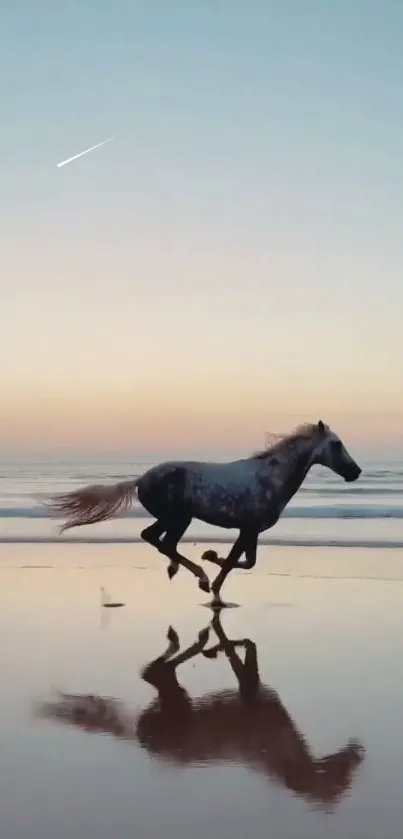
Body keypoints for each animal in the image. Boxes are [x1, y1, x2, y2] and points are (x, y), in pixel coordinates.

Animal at [37, 612, 366, 812]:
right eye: (340, 785)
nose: (357, 752)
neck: (279, 751)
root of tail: (139, 736)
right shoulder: (251, 693)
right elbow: (241, 652)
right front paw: (219, 643)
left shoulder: (252, 687)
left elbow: (246, 648)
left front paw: (222, 644)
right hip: (177, 703)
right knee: (154, 670)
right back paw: (196, 638)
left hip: (176, 697)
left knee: (155, 671)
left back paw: (191, 638)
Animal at [45, 420, 362, 604]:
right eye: (336, 444)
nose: (356, 472)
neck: (270, 478)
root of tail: (140, 480)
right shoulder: (248, 529)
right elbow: (235, 562)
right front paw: (214, 584)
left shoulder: (252, 531)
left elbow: (247, 562)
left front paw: (211, 560)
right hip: (179, 518)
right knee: (164, 542)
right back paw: (200, 577)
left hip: (172, 518)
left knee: (154, 538)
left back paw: (180, 570)